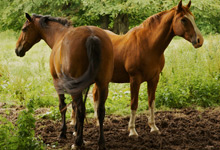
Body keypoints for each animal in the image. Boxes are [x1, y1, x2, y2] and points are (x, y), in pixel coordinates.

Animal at [15, 13, 114, 150]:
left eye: (24, 29)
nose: (17, 49)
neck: (59, 35)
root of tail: (92, 35)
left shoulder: (57, 82)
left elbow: (63, 106)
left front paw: (63, 133)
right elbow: (75, 107)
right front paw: (76, 130)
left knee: (81, 110)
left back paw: (78, 143)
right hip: (102, 84)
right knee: (100, 112)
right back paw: (101, 143)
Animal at [92, 0, 204, 137]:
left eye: (193, 18)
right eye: (183, 19)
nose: (199, 40)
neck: (147, 45)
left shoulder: (154, 79)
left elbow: (151, 101)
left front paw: (153, 127)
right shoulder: (135, 79)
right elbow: (134, 103)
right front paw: (132, 130)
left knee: (95, 95)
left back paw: (98, 122)